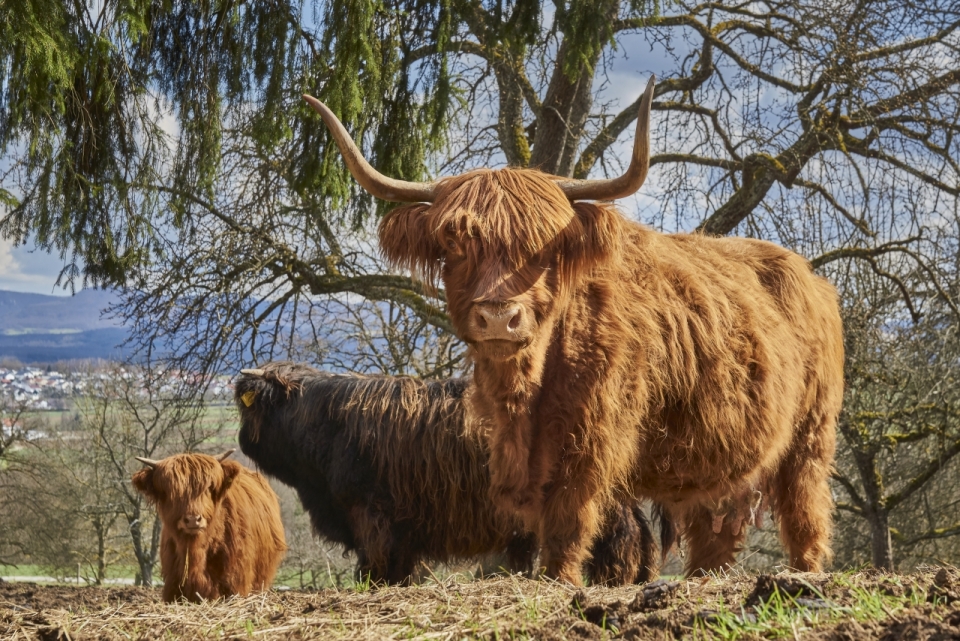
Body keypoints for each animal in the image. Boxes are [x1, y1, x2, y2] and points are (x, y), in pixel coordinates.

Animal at [304, 77, 844, 584]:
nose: (499, 316)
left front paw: (558, 579)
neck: (527, 388)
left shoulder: (592, 435)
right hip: (718, 460)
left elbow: (569, 516)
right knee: (716, 531)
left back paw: (804, 575)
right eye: (455, 243)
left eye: (544, 247)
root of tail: (811, 276)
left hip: (811, 436)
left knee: (806, 513)